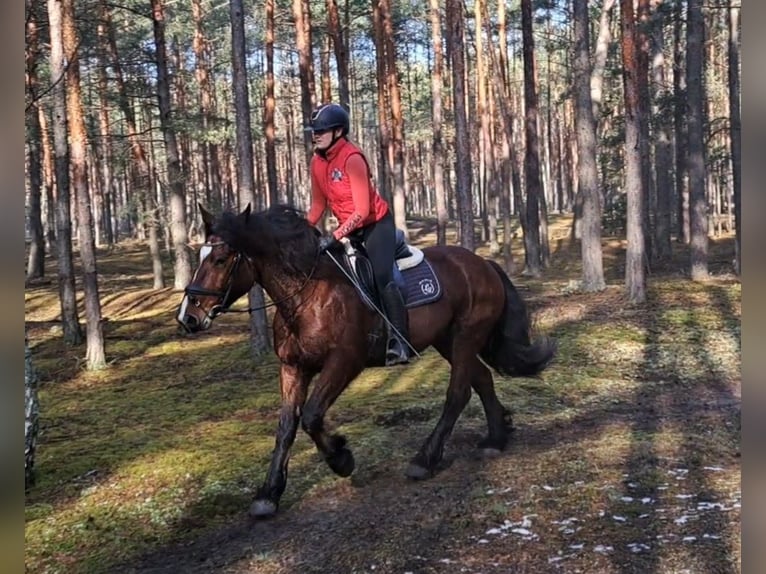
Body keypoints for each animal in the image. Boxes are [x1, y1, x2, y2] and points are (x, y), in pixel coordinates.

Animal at [177, 205, 556, 520]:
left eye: (221, 259)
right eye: (201, 256)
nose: (189, 317)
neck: (306, 294)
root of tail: (483, 264)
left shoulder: (344, 362)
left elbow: (311, 416)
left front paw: (341, 459)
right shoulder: (293, 368)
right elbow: (286, 426)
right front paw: (268, 494)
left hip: (465, 336)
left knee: (458, 393)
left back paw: (425, 459)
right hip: (447, 340)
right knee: (481, 378)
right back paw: (495, 438)